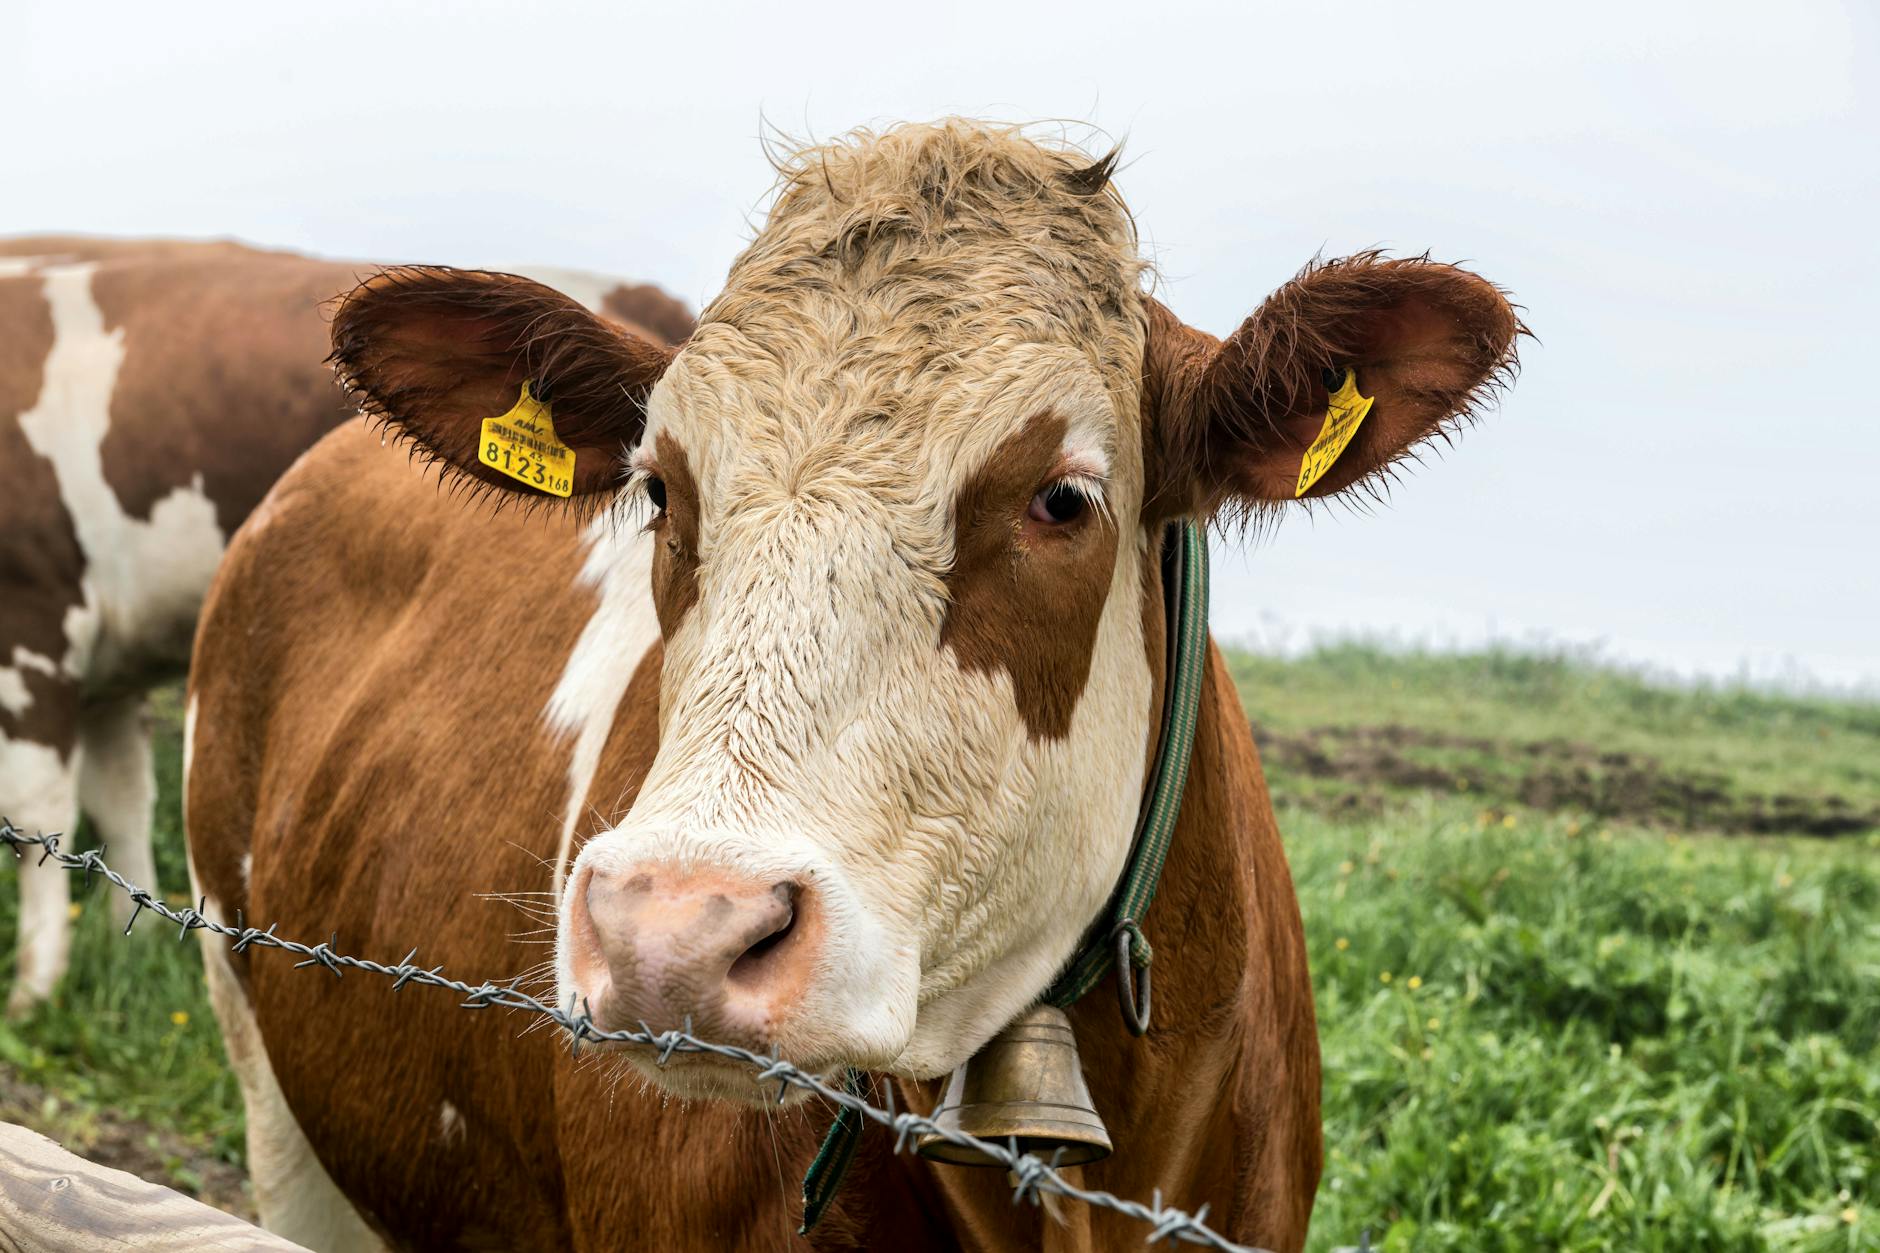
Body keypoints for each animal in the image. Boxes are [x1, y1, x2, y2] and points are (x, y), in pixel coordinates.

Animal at [0, 238, 690, 1015]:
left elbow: (37, 808)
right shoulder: (105, 666)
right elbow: (119, 797)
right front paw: (134, 940)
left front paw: (32, 988)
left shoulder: (30, 617)